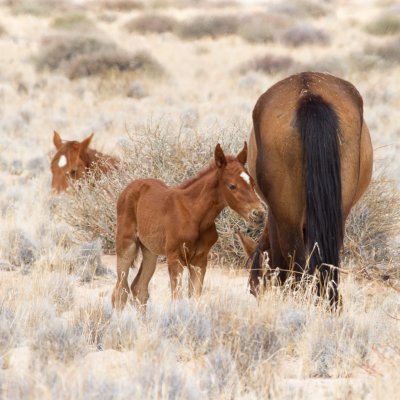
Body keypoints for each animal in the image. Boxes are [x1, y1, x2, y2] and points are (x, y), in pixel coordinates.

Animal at [111, 141, 264, 310]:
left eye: (253, 183)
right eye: (232, 186)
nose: (259, 213)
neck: (194, 214)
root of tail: (130, 186)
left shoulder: (199, 260)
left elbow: (195, 299)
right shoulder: (175, 259)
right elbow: (177, 299)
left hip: (150, 250)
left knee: (139, 288)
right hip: (127, 245)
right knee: (120, 291)